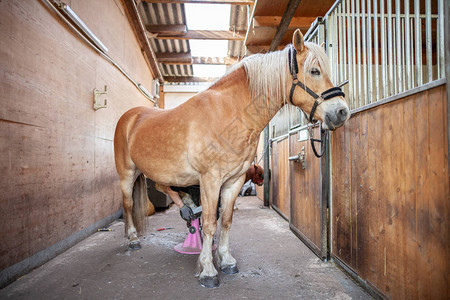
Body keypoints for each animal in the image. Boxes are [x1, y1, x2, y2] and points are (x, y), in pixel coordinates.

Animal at [114, 29, 350, 288]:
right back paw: (133, 240)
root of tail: (130, 116)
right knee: (128, 204)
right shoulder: (209, 180)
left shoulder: (233, 181)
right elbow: (209, 223)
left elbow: (225, 220)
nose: (342, 112)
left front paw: (226, 261)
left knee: (160, 188)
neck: (230, 114)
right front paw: (208, 270)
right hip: (127, 174)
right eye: (314, 71)